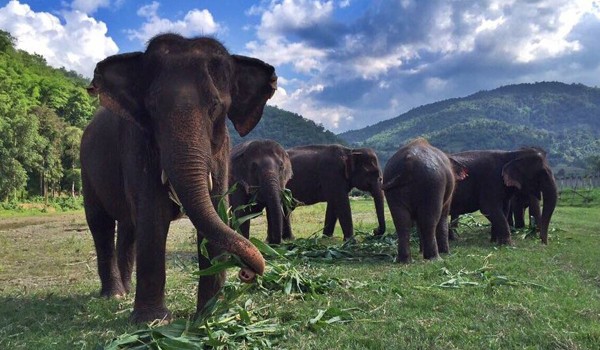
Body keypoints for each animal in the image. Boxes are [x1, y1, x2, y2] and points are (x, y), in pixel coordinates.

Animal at [80, 34, 276, 324]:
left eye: (215, 106)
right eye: (152, 107)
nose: (248, 273)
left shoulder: (223, 152)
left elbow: (216, 210)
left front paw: (209, 316)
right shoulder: (138, 145)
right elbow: (153, 216)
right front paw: (152, 321)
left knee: (128, 226)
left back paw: (125, 291)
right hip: (86, 169)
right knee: (100, 223)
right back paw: (114, 295)